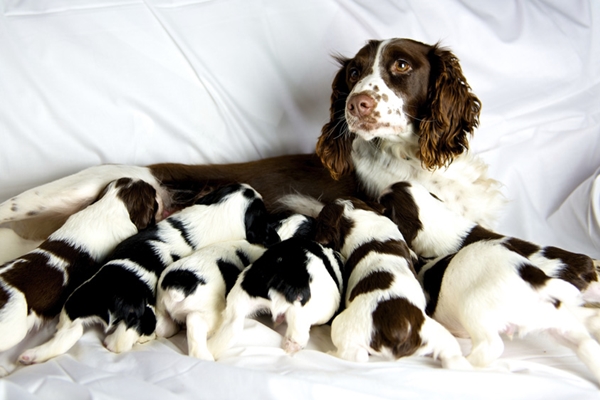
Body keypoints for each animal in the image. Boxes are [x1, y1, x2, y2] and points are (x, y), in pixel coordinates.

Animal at [18, 184, 278, 366]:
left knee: (67, 335)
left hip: (77, 302)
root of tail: (112, 299)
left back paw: (31, 356)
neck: (214, 212)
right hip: (150, 313)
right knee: (122, 341)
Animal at [156, 212, 314, 360]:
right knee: (195, 323)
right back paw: (204, 356)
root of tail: (179, 286)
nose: (313, 219)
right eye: (307, 231)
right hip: (210, 313)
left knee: (164, 327)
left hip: (163, 310)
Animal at [312, 197, 472, 368]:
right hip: (433, 333)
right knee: (450, 353)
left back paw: (331, 353)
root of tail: (397, 328)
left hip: (345, 326)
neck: (354, 216)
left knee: (357, 355)